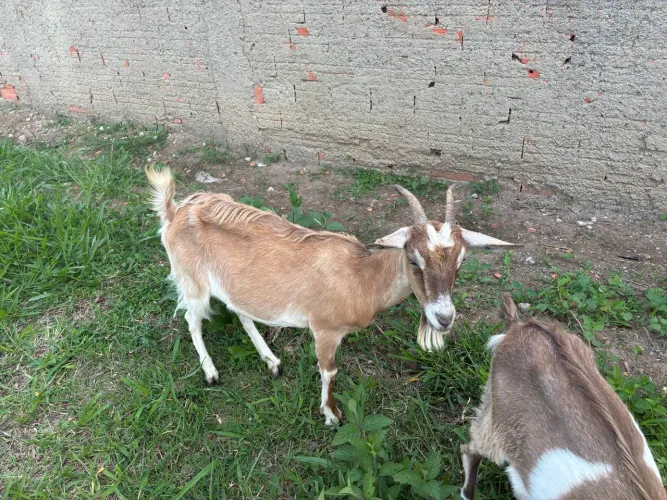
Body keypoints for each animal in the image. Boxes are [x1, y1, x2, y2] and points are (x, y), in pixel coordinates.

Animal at [145, 166, 518, 425]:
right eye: (413, 259)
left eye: (462, 260)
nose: (444, 318)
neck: (360, 277)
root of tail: (175, 212)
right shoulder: (324, 330)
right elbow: (330, 372)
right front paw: (331, 415)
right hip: (192, 282)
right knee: (192, 319)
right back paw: (210, 372)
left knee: (241, 313)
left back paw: (272, 361)